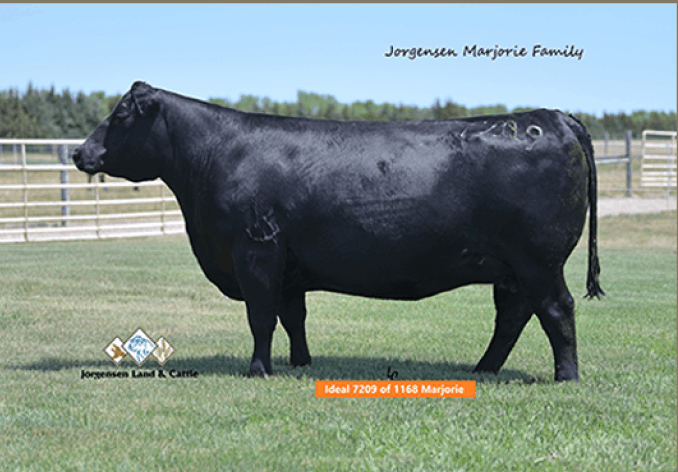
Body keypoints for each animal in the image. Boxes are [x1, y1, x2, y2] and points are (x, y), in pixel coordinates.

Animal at [72, 81, 603, 381]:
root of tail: (550, 116)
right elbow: (292, 316)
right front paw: (300, 363)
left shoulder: (255, 251)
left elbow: (261, 317)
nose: (79, 153)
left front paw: (258, 370)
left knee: (556, 310)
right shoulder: (285, 262)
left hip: (537, 259)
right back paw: (484, 369)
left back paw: (566, 376)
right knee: (513, 316)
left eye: (120, 115)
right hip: (509, 267)